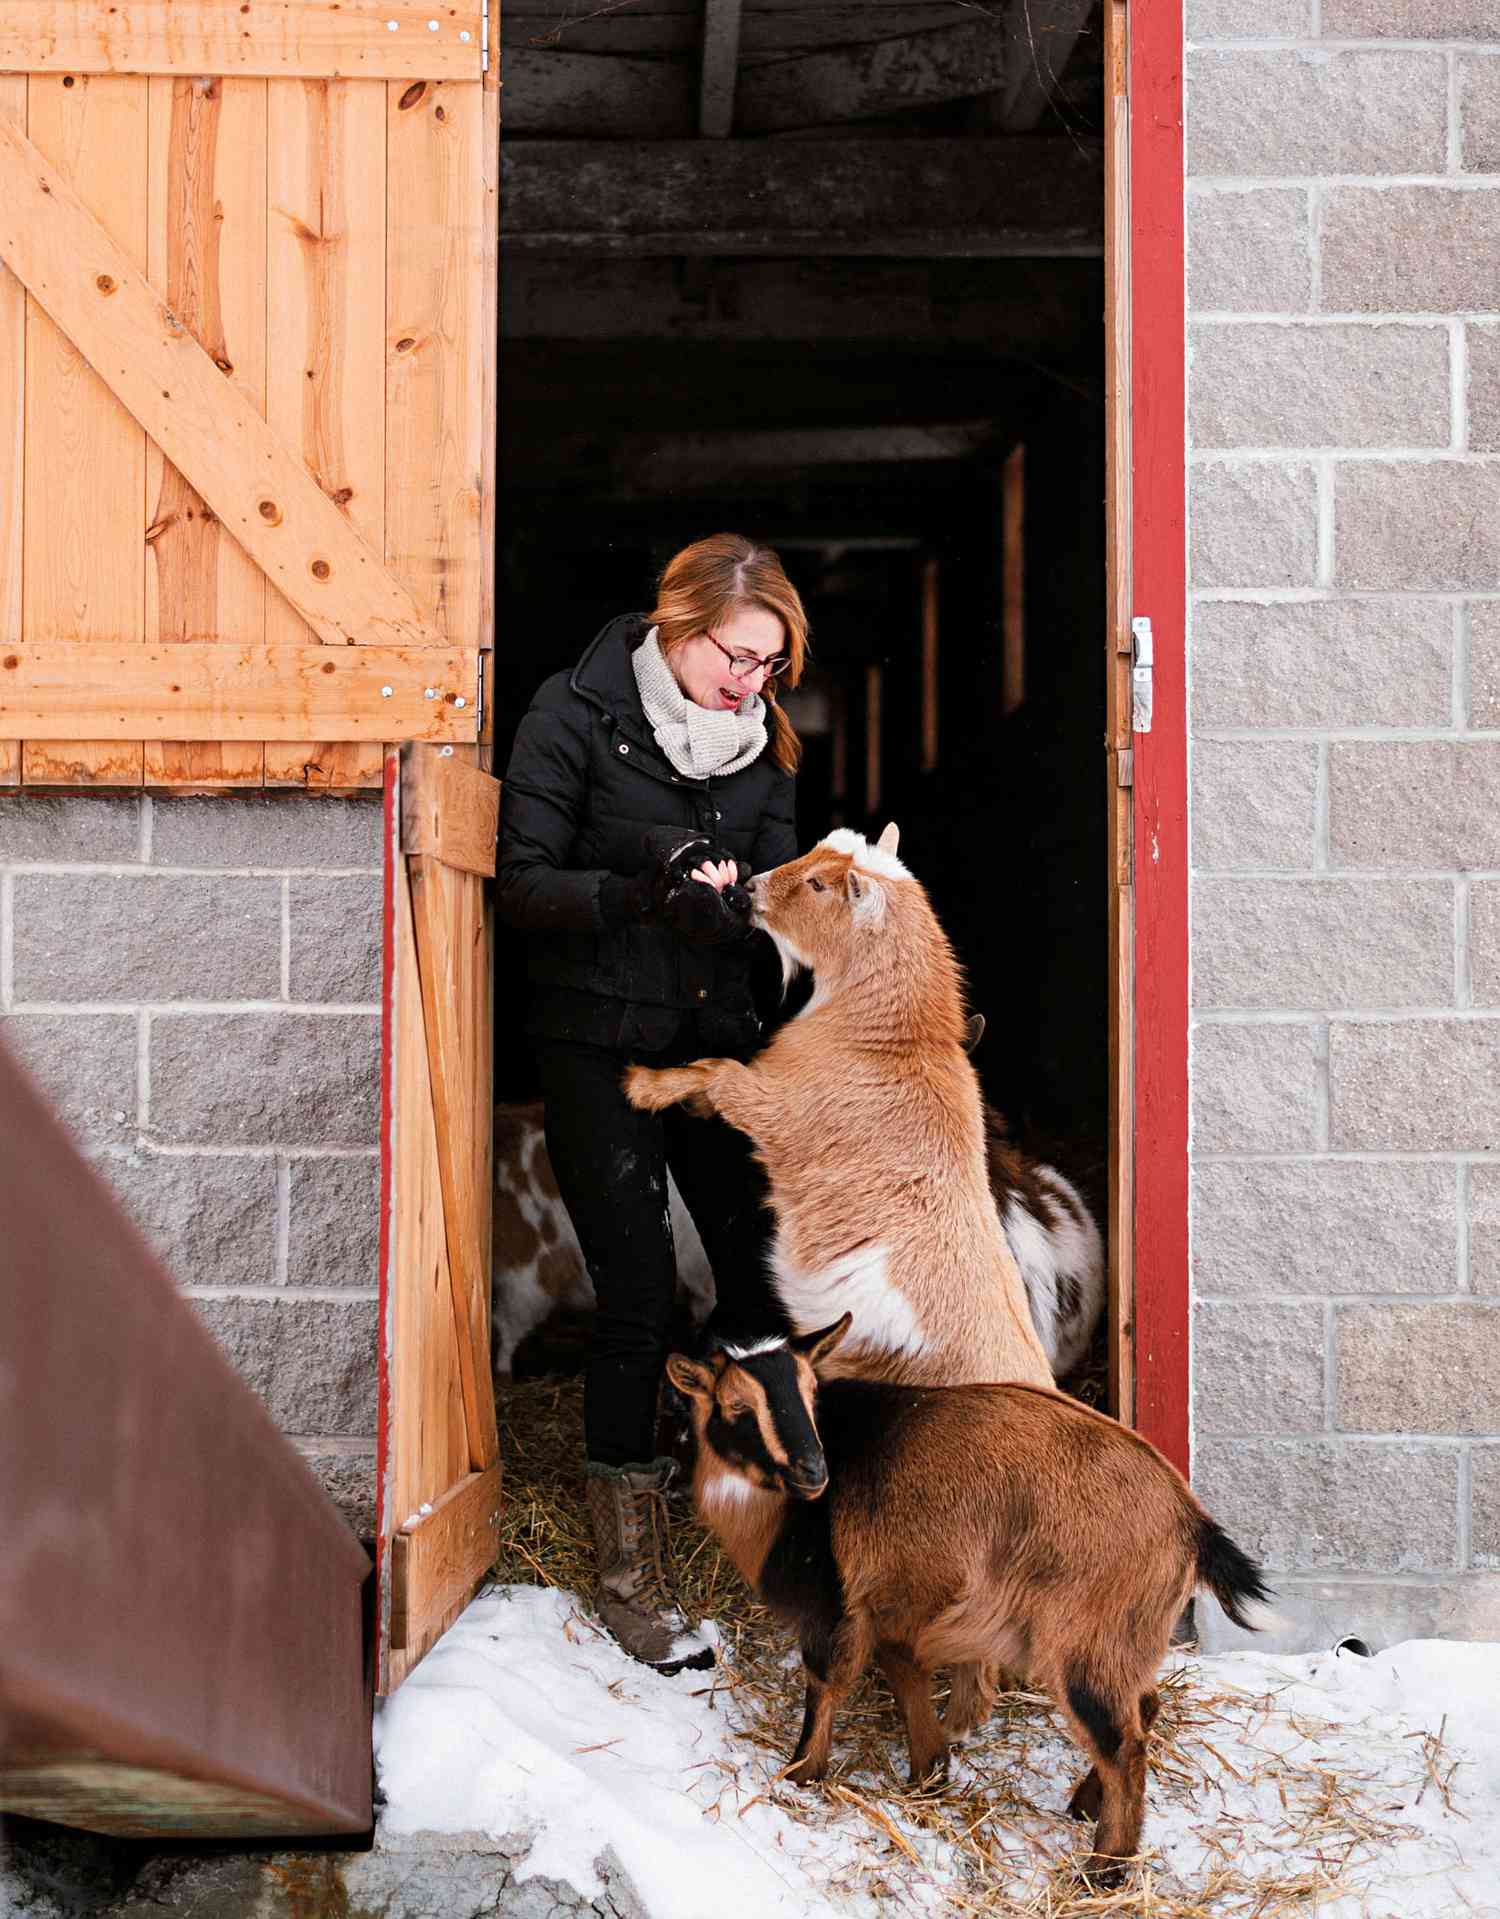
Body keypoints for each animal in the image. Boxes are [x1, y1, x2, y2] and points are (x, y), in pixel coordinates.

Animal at [625, 825, 1058, 1397]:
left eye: (817, 885)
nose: (751, 886)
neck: (891, 1041)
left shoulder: (778, 1109)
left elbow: (717, 1070)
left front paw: (641, 1085)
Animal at [675, 1320, 1273, 1888]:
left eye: (810, 1392)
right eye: (737, 1407)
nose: (813, 1472)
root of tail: (1190, 1523)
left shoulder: (837, 1605)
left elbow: (826, 1685)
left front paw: (798, 1773)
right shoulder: (894, 1604)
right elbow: (904, 1673)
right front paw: (928, 1771)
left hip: (1083, 1646)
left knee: (1121, 1743)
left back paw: (1103, 1870)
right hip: (1128, 1639)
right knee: (1145, 1707)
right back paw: (1086, 1807)